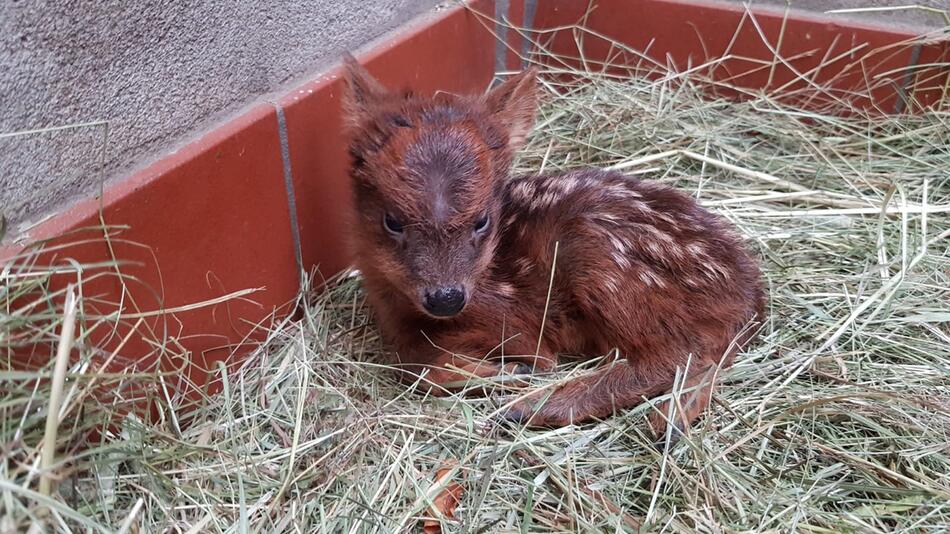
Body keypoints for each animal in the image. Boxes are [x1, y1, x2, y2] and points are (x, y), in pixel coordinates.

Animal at [340, 53, 768, 440]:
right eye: (392, 220)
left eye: (482, 220)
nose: (446, 297)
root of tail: (750, 290)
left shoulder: (522, 329)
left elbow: (423, 371)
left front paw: (512, 373)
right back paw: (673, 419)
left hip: (601, 255)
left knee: (676, 356)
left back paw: (534, 408)